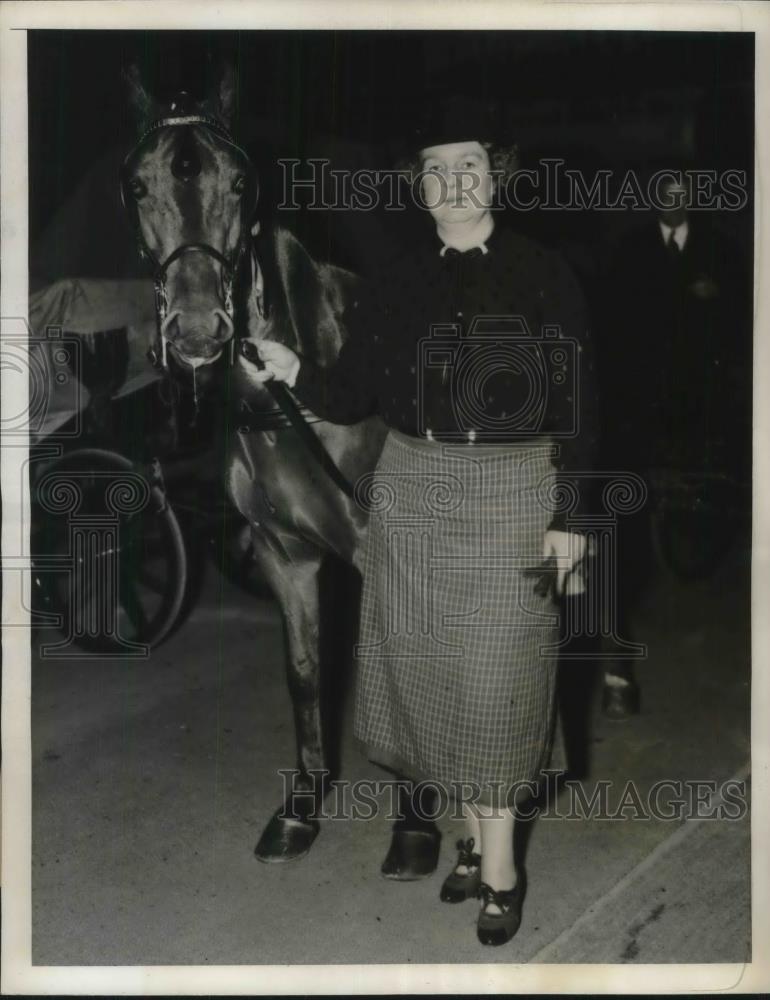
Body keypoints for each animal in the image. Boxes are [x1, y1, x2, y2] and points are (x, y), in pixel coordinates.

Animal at [124, 68, 388, 860]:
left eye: (240, 181)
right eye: (138, 185)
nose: (197, 330)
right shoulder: (283, 554)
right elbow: (304, 672)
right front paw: (302, 805)